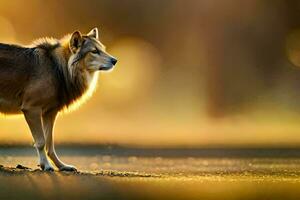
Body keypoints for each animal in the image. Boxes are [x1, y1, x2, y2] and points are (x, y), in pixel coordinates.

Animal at [0, 27, 117, 171]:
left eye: (103, 49)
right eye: (94, 51)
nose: (115, 61)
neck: (59, 69)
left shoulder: (50, 113)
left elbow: (50, 144)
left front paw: (61, 166)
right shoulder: (31, 110)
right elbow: (41, 142)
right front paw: (46, 166)